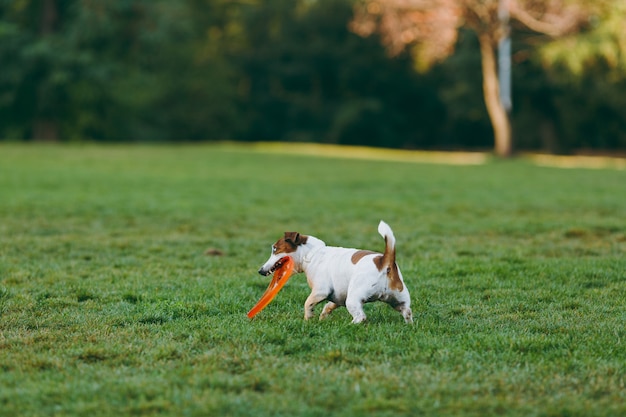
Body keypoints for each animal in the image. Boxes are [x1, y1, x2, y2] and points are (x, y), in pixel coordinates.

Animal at [256, 219, 412, 324]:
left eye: (275, 249)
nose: (260, 271)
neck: (312, 254)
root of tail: (384, 261)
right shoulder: (339, 295)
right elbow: (328, 305)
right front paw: (322, 317)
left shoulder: (320, 291)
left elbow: (308, 303)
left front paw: (308, 318)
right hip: (399, 299)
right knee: (407, 312)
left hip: (354, 298)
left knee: (360, 317)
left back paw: (349, 325)